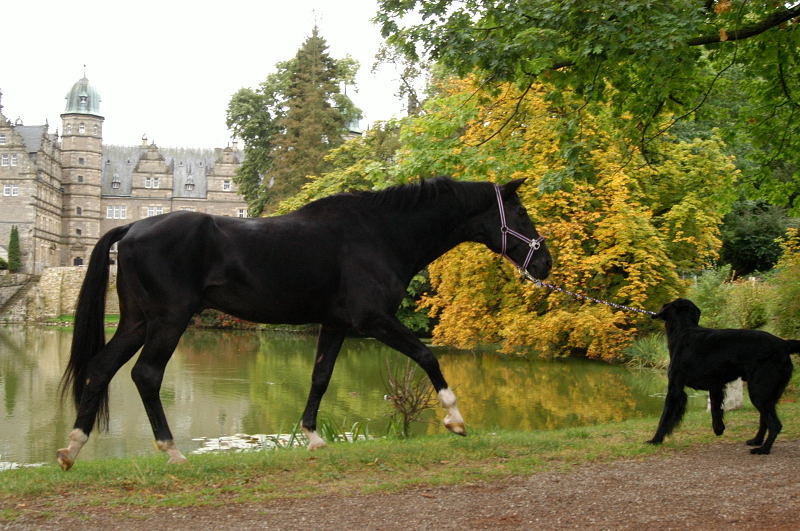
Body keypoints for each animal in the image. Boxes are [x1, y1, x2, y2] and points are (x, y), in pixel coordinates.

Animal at [56, 178, 552, 470]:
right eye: (522, 213)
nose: (545, 263)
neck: (380, 233)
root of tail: (132, 228)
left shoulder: (335, 325)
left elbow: (320, 377)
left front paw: (313, 437)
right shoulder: (373, 320)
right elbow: (427, 355)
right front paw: (455, 418)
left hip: (137, 322)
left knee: (101, 368)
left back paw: (72, 448)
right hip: (168, 321)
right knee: (146, 375)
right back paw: (171, 450)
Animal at [648, 298, 792, 456]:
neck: (683, 330)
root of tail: (784, 344)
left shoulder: (675, 388)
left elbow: (665, 417)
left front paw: (655, 440)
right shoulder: (715, 385)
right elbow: (716, 409)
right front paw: (719, 429)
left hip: (759, 391)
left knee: (775, 424)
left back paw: (763, 449)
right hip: (769, 394)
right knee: (764, 420)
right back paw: (756, 441)